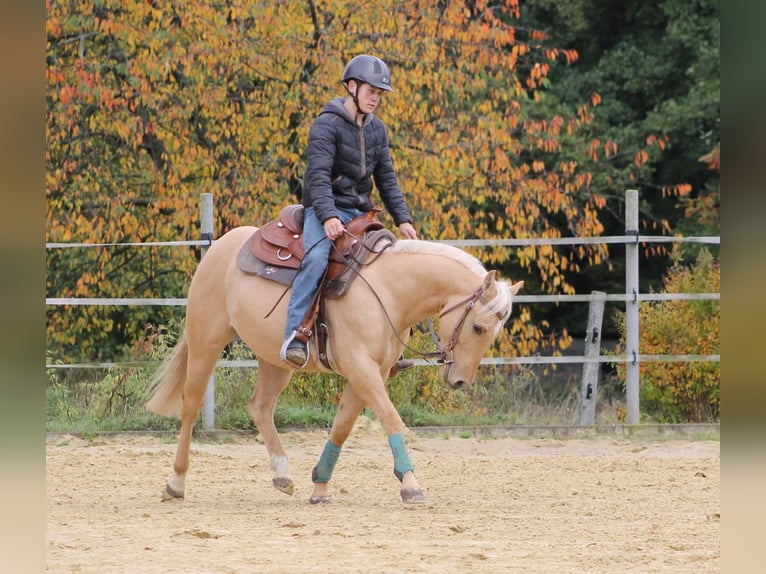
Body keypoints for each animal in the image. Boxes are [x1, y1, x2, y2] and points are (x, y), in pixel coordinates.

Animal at [146, 224, 523, 504]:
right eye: (478, 327)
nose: (460, 381)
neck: (389, 290)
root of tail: (220, 245)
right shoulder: (361, 367)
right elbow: (391, 419)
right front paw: (410, 483)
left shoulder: (371, 372)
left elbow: (342, 426)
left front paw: (320, 486)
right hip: (206, 341)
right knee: (191, 404)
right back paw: (176, 482)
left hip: (275, 359)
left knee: (260, 406)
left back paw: (283, 475)